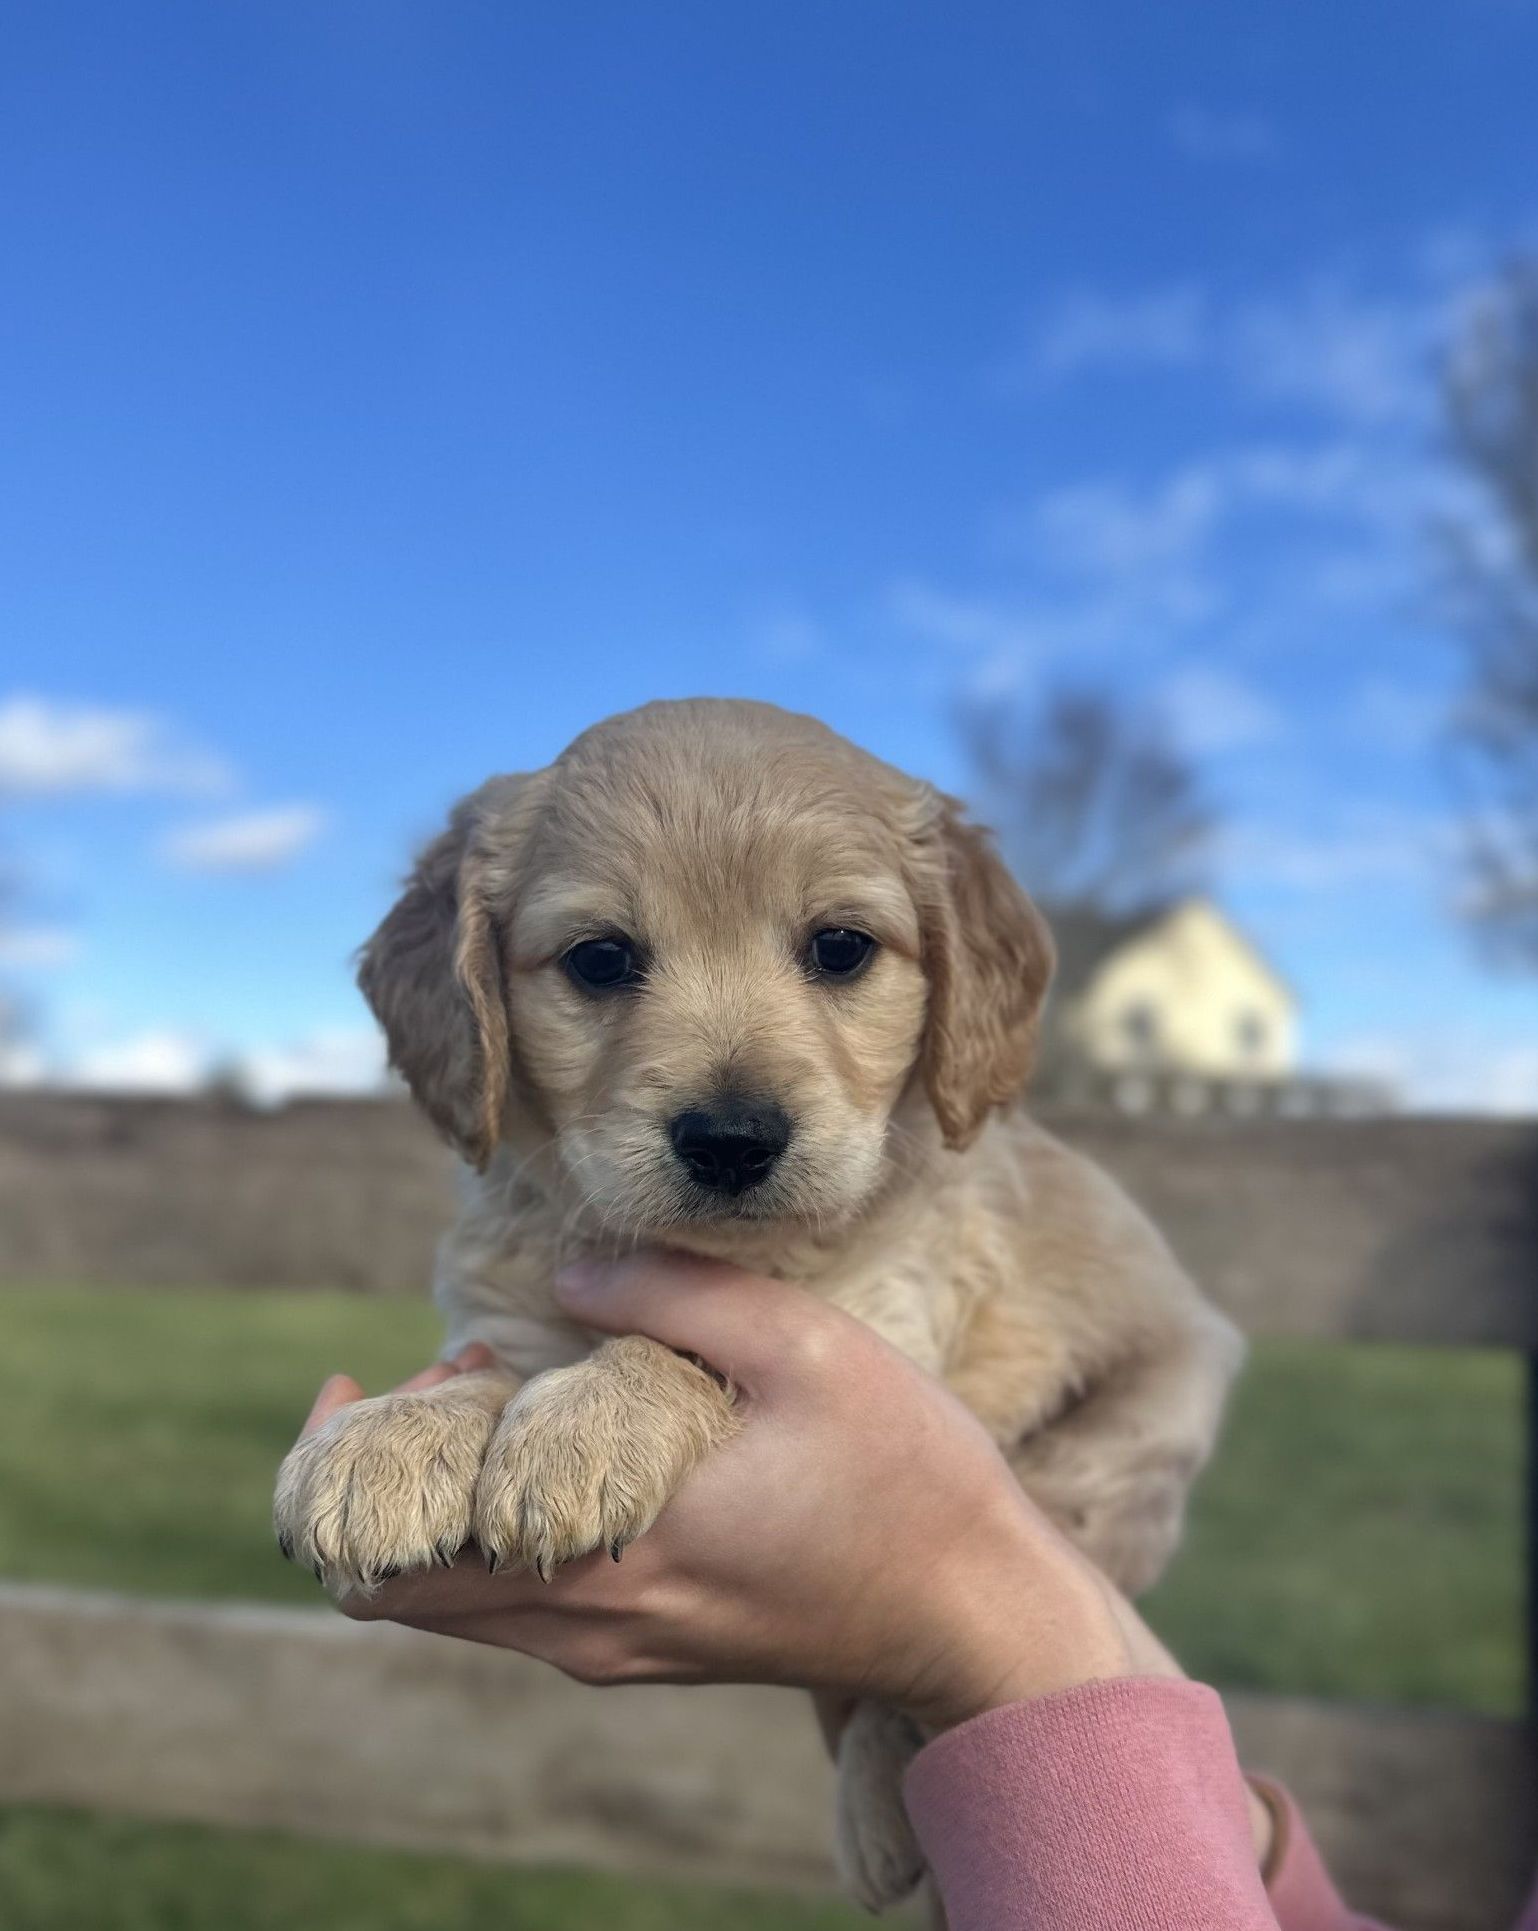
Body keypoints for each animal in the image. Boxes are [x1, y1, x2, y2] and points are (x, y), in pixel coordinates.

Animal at [272, 702, 1236, 1907]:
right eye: (600, 959)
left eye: (840, 947)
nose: (731, 1139)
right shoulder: (516, 1311)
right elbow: (493, 1367)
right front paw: (390, 1440)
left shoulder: (880, 1318)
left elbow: (686, 1343)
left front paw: (590, 1421)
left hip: (1117, 1448)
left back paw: (880, 1801)